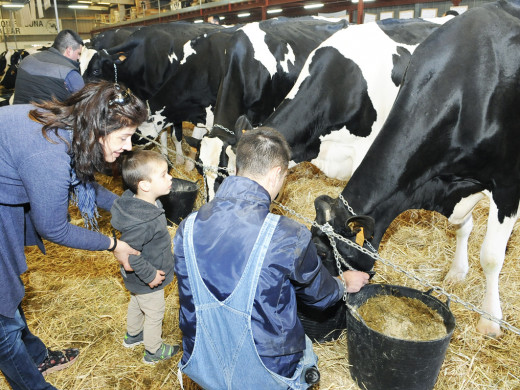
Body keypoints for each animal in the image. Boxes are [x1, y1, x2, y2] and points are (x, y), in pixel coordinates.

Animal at [312, 0, 520, 336]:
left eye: (322, 253)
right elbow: (462, 227)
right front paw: (457, 273)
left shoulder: (507, 183)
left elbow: (491, 256)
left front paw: (490, 321)